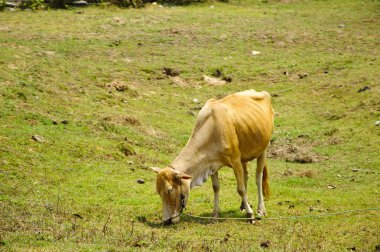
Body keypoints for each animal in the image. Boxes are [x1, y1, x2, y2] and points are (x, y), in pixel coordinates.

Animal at [151, 89, 274, 224]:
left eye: (169, 190)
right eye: (158, 191)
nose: (166, 220)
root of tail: (261, 92)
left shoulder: (235, 161)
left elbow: (240, 189)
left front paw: (250, 215)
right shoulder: (211, 165)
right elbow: (216, 187)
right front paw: (215, 215)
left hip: (263, 149)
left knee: (258, 177)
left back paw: (260, 210)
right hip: (244, 155)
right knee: (246, 175)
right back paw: (243, 205)